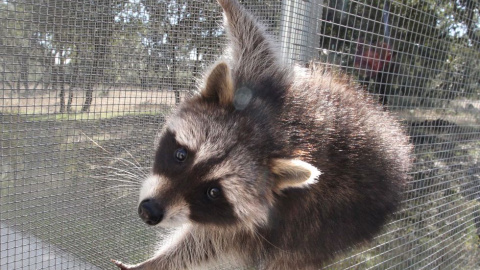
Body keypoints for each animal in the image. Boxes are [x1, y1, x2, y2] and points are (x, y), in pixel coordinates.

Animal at [113, 0, 412, 270]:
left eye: (213, 192)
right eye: (180, 154)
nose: (149, 212)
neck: (277, 134)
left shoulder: (273, 220)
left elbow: (213, 243)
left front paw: (156, 262)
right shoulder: (267, 86)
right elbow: (256, 43)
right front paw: (231, 8)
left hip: (323, 234)